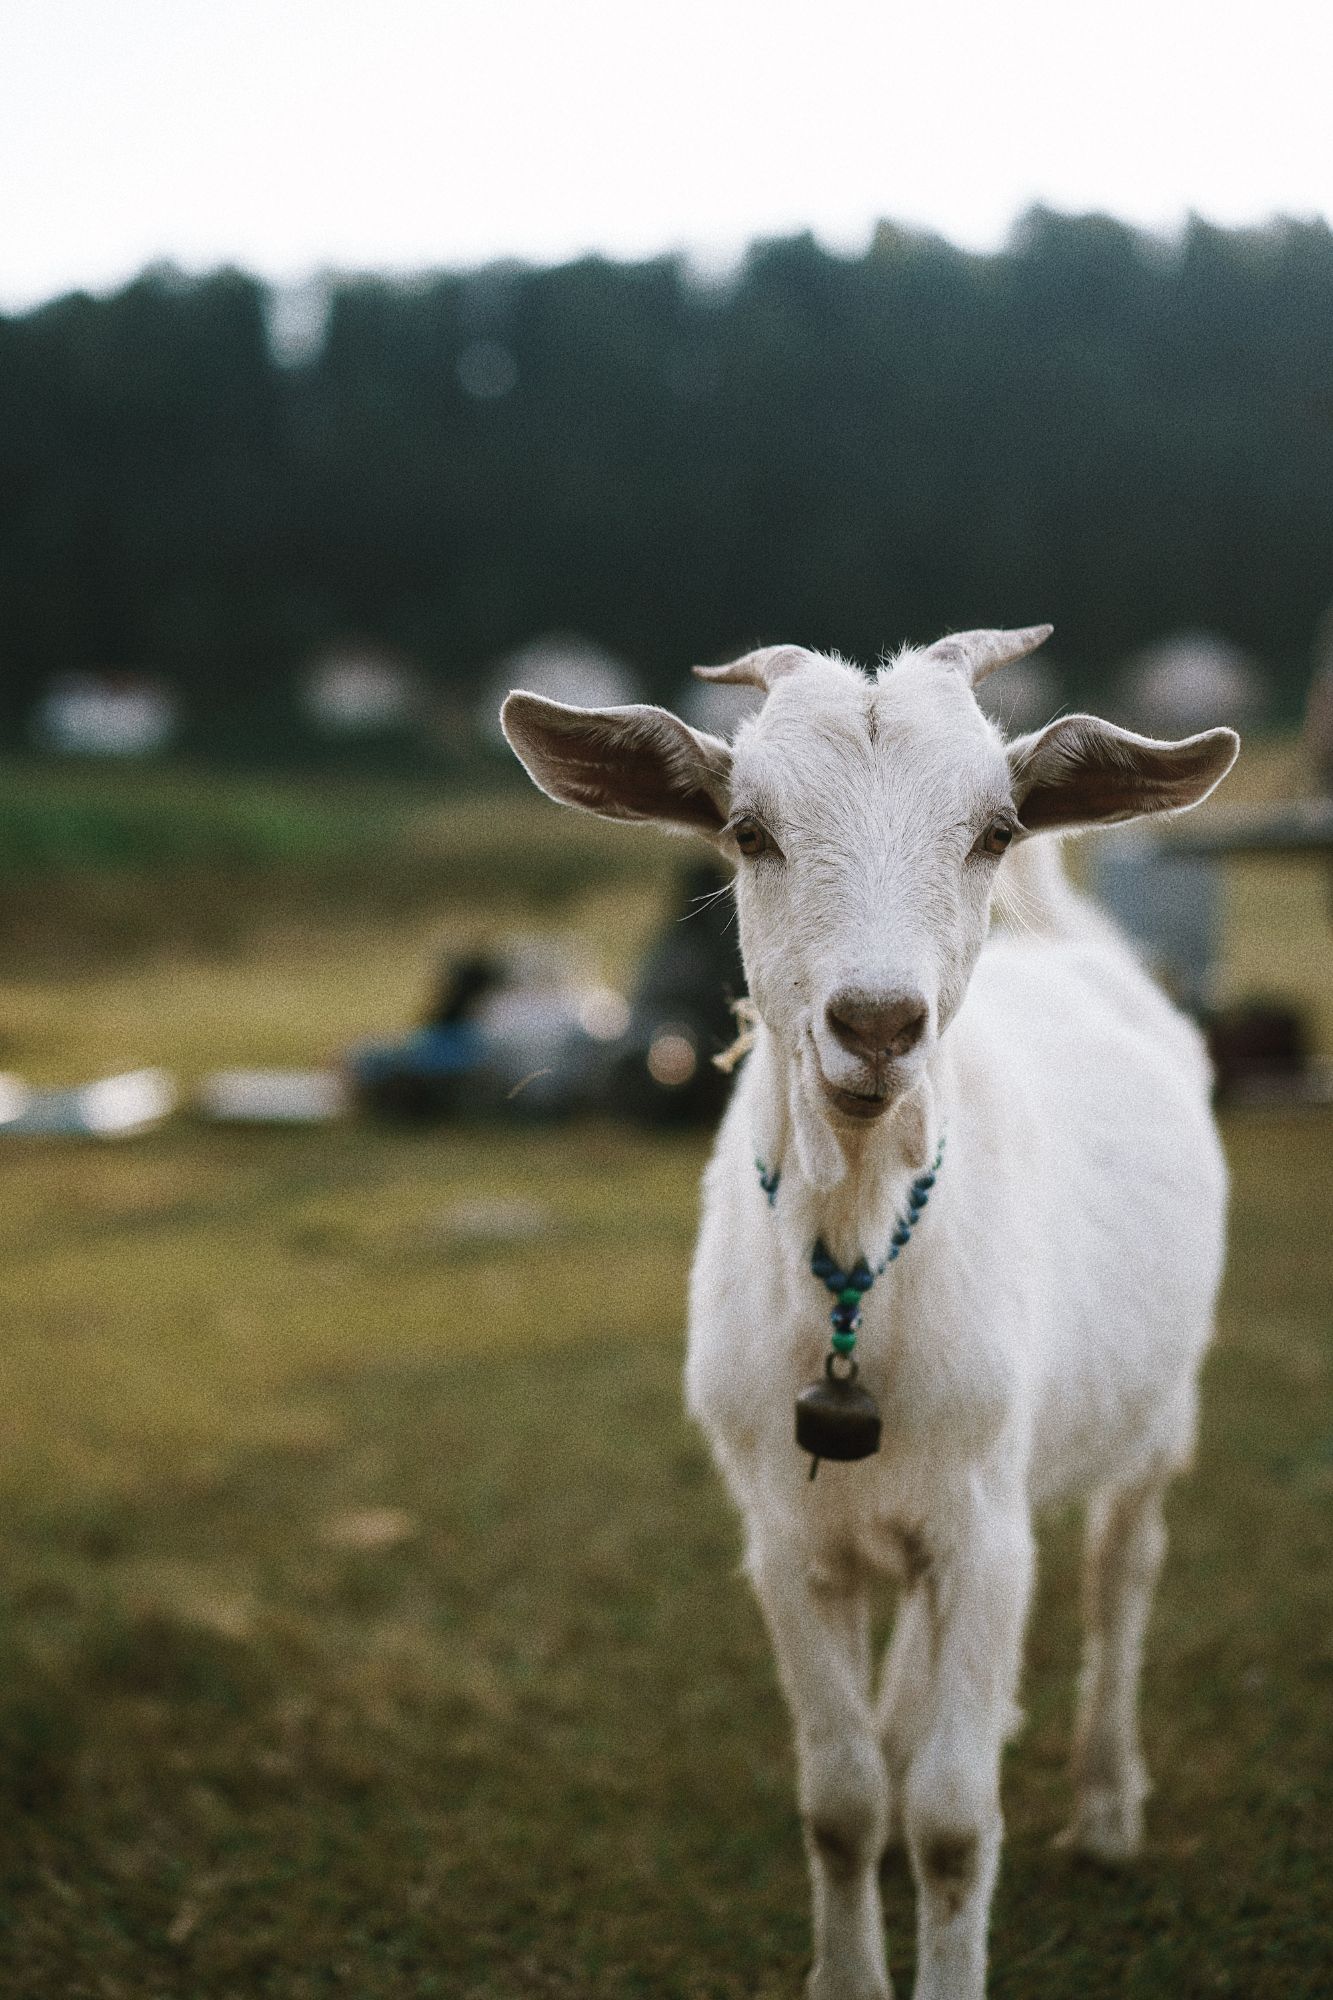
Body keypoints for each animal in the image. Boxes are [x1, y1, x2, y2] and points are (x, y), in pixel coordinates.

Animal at [500, 628, 1232, 2000]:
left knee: (1126, 1570)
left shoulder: (990, 1529)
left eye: (991, 829)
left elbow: (950, 1817)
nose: (879, 1021)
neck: (855, 1268)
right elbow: (840, 1801)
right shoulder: (784, 1535)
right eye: (748, 830)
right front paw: (847, 1967)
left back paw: (1109, 1803)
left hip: (1157, 1411)